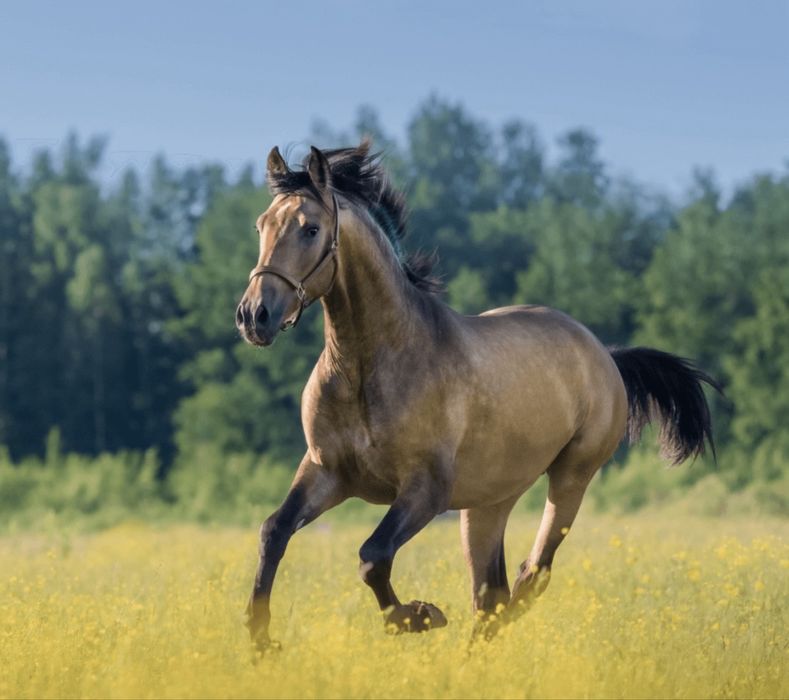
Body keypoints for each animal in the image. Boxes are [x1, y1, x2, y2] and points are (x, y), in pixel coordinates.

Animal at [235, 142, 718, 650]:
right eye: (262, 225)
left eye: (310, 229)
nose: (254, 316)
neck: (367, 368)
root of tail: (604, 354)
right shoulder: (325, 472)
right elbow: (273, 531)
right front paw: (261, 640)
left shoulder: (425, 490)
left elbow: (373, 555)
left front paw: (419, 616)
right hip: (488, 503)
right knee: (491, 595)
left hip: (571, 477)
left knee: (531, 576)